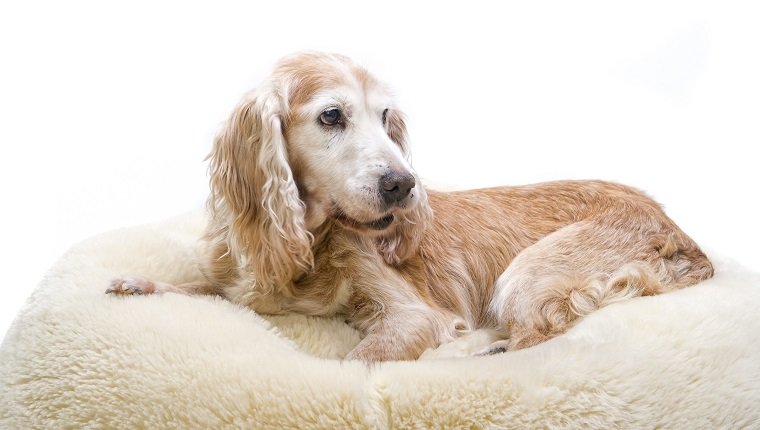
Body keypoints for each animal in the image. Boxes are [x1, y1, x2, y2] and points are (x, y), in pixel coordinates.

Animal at [105, 52, 712, 362]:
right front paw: (143, 284)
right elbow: (206, 289)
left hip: (527, 273)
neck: (312, 243)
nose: (404, 186)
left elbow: (357, 361)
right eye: (332, 116)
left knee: (536, 336)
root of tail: (676, 226)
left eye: (386, 118)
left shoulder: (411, 315)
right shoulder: (249, 289)